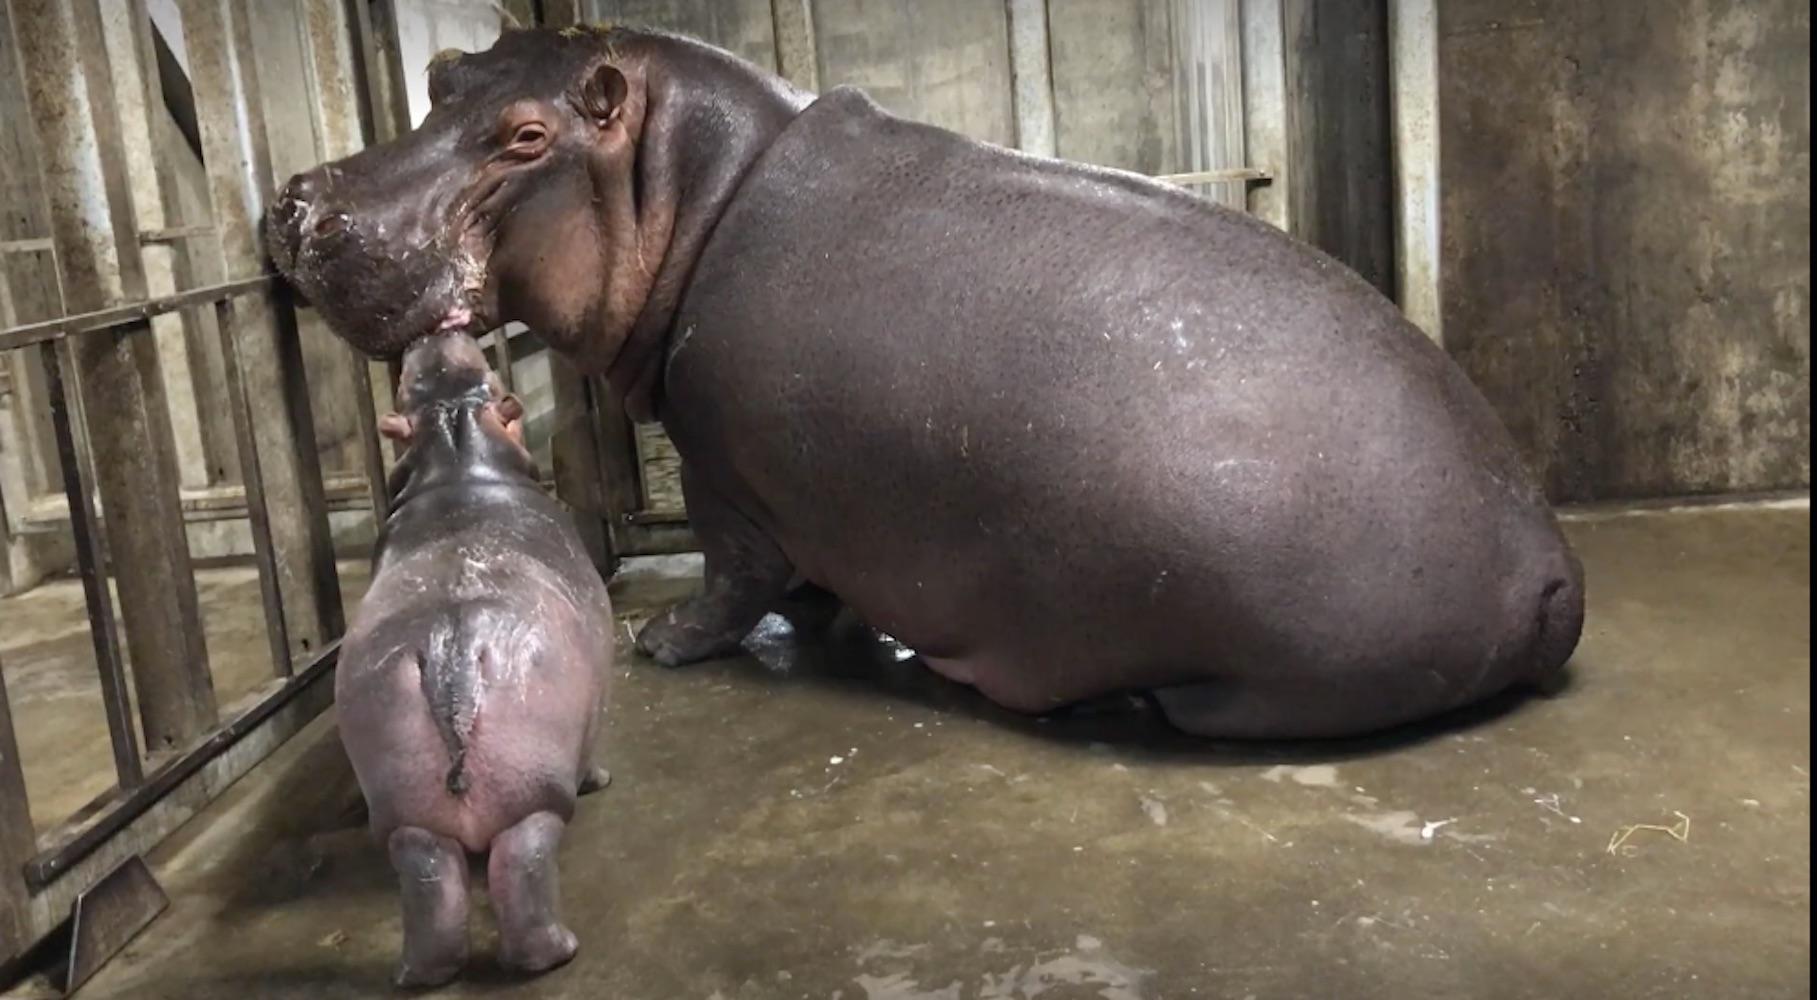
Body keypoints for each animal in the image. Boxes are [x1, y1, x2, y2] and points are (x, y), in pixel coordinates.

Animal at [263, 27, 1584, 741]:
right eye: (445, 73)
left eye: (527, 137)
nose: (300, 203)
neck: (687, 186)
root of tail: (1545, 562)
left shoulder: (721, 465)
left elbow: (734, 577)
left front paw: (662, 640)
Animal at [341, 332, 617, 989]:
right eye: (495, 382)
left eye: (406, 389)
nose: (437, 333)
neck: (458, 458)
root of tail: (454, 650)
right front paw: (602, 777)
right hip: (534, 791)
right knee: (525, 860)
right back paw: (556, 954)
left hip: (405, 810)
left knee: (426, 875)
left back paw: (420, 974)